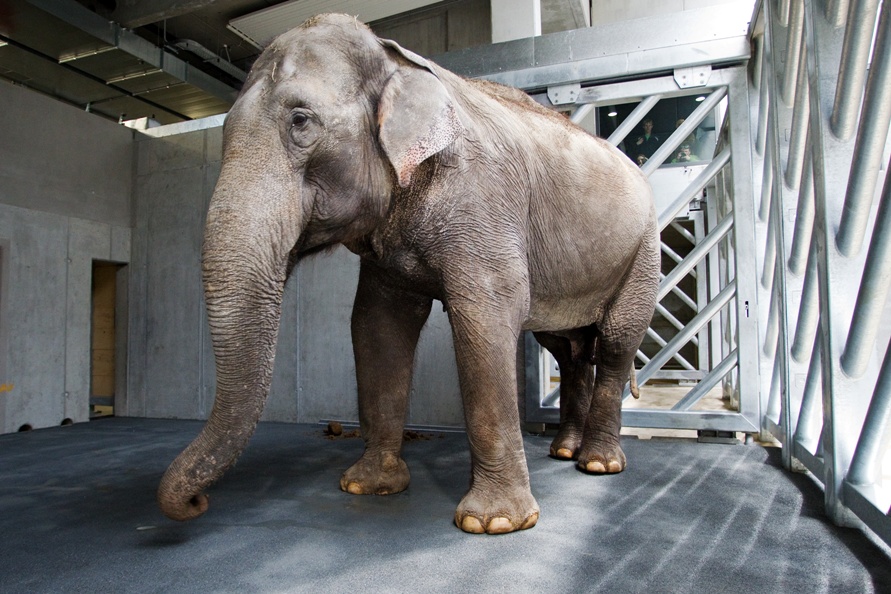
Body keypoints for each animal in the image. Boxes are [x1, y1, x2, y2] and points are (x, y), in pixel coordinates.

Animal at [159, 12, 664, 532]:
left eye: (300, 121)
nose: (195, 503)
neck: (393, 58)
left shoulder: (483, 201)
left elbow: (487, 314)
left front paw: (494, 523)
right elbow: (378, 324)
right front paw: (367, 486)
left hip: (644, 247)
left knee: (618, 340)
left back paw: (598, 463)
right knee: (568, 349)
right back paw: (565, 451)